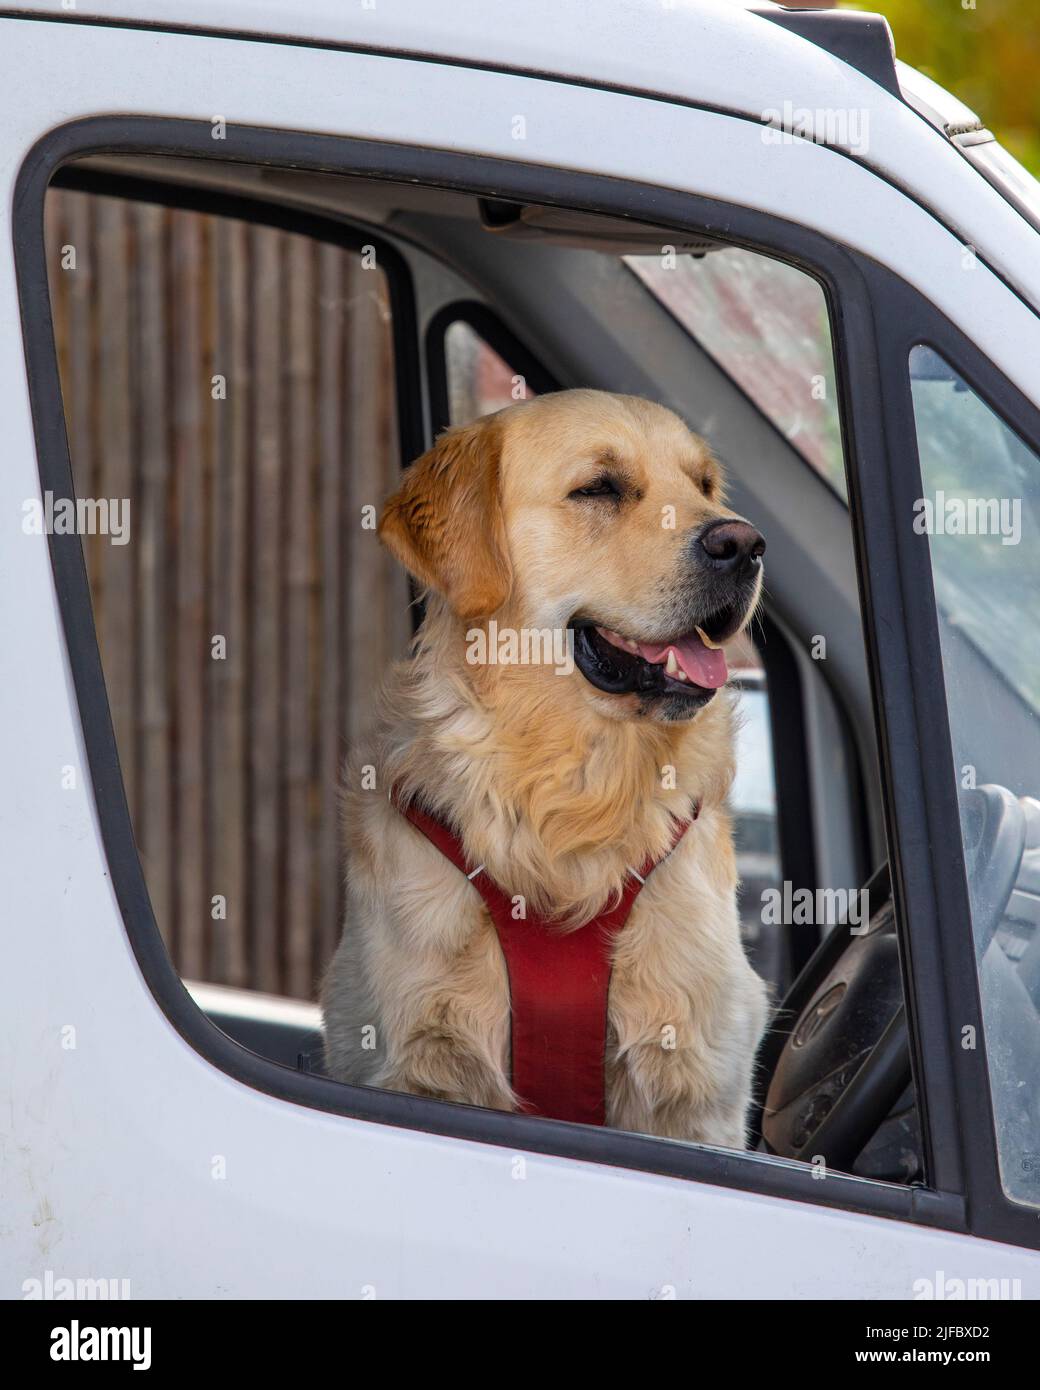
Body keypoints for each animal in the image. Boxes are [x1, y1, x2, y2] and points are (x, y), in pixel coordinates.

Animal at [325, 389, 773, 1139]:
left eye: (704, 486)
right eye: (599, 488)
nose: (743, 543)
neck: (575, 784)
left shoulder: (697, 1093)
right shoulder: (416, 1059)